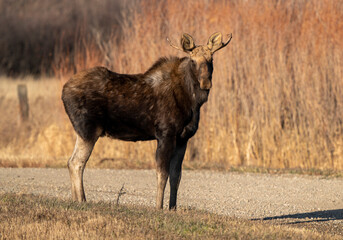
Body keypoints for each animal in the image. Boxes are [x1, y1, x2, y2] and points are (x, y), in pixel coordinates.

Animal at [62, 31, 232, 208]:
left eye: (211, 59)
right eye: (193, 60)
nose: (206, 82)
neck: (193, 101)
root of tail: (63, 91)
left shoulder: (183, 139)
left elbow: (176, 176)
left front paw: (173, 208)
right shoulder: (165, 134)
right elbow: (162, 174)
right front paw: (159, 207)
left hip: (82, 132)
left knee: (71, 161)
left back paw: (76, 199)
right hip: (88, 130)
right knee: (76, 162)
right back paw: (82, 199)